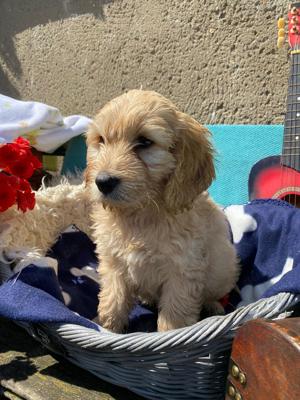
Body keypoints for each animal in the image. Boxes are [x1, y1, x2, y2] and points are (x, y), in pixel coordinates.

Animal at [85, 89, 239, 332]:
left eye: (144, 142)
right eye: (101, 140)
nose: (103, 182)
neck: (140, 213)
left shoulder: (183, 270)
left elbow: (174, 315)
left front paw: (169, 336)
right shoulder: (112, 262)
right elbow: (113, 299)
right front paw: (107, 328)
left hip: (224, 270)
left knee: (214, 294)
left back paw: (214, 306)